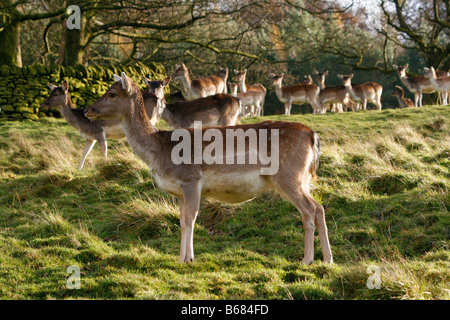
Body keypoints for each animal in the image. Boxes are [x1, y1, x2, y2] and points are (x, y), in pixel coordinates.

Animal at [84, 72, 332, 264]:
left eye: (111, 93)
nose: (88, 109)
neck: (158, 152)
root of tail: (313, 136)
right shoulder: (178, 191)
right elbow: (181, 221)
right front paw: (182, 258)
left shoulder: (191, 179)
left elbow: (190, 218)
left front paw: (187, 258)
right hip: (303, 178)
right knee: (319, 207)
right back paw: (328, 259)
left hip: (288, 176)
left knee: (308, 210)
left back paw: (307, 259)